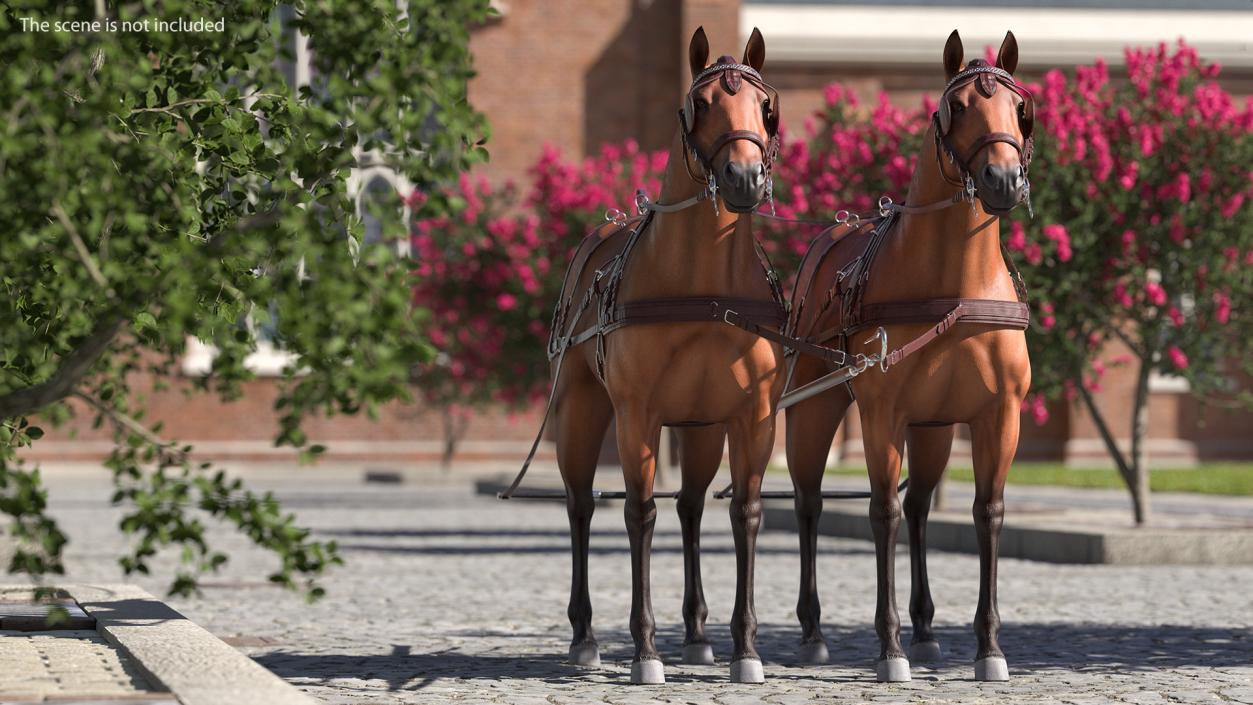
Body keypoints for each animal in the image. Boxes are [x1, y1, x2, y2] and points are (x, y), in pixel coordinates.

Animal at [546, 27, 781, 686]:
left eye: (766, 107)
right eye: (699, 104)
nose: (743, 178)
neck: (703, 284)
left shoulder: (751, 415)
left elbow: (745, 513)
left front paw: (745, 649)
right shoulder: (637, 415)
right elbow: (640, 513)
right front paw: (646, 650)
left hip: (700, 429)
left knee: (694, 508)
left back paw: (698, 636)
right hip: (580, 410)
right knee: (580, 505)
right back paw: (584, 637)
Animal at [786, 28, 1032, 686]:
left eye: (1019, 108)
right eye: (958, 107)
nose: (1003, 181)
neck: (955, 285)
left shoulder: (998, 416)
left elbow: (987, 513)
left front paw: (988, 647)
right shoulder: (882, 414)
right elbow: (881, 514)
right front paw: (888, 646)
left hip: (935, 428)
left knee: (920, 506)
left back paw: (924, 630)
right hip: (813, 410)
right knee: (811, 503)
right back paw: (814, 631)